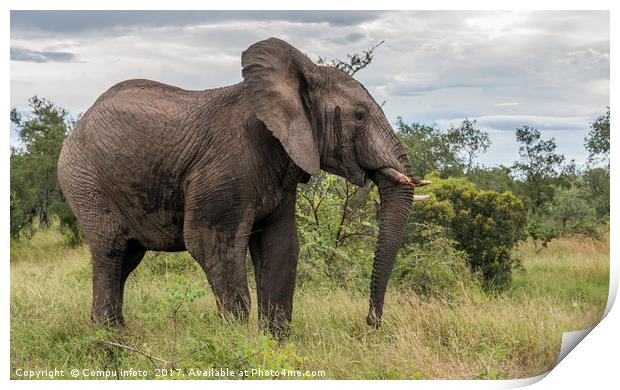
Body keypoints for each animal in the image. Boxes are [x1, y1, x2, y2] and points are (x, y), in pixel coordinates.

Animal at [58, 37, 426, 338]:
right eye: (360, 116)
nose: (371, 322)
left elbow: (281, 246)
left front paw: (275, 345)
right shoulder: (224, 167)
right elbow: (210, 243)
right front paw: (235, 343)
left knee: (127, 257)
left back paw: (114, 334)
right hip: (84, 178)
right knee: (112, 251)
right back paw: (110, 339)